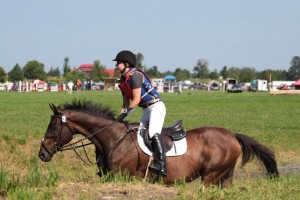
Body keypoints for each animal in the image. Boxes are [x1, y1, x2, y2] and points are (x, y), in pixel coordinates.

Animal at [37, 100, 278, 188]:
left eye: (54, 127)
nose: (42, 154)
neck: (112, 139)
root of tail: (232, 135)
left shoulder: (124, 177)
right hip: (225, 176)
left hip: (211, 175)